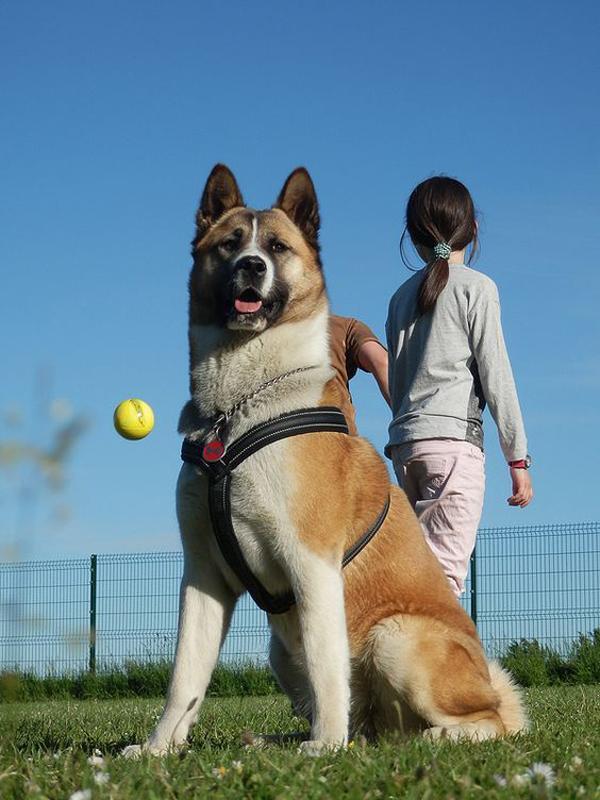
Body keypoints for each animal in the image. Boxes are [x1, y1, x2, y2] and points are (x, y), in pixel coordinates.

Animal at [124, 164, 528, 756]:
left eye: (276, 247)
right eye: (229, 244)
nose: (251, 266)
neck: (238, 410)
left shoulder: (311, 562)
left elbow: (325, 664)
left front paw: (325, 747)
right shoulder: (203, 575)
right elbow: (185, 678)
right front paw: (159, 749)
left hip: (395, 636)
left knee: (489, 722)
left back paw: (415, 739)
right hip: (282, 649)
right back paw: (282, 740)